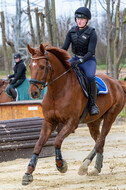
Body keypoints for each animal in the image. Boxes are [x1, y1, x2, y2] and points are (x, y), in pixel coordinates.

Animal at [21, 43, 126, 185]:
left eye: (42, 66)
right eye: (30, 67)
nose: (34, 93)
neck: (57, 91)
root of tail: (117, 82)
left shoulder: (72, 123)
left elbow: (57, 141)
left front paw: (61, 165)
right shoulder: (49, 122)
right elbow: (38, 145)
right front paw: (28, 173)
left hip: (111, 116)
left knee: (101, 139)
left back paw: (84, 165)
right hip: (94, 122)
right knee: (100, 140)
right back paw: (96, 168)